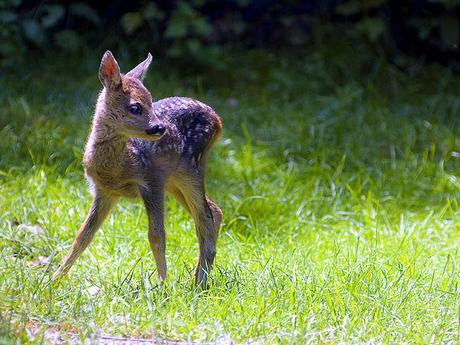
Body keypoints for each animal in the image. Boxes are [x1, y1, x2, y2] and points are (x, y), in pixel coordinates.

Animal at [54, 51, 223, 286]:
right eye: (135, 107)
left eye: (151, 102)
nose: (160, 127)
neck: (121, 164)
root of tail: (217, 120)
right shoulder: (105, 191)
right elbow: (84, 235)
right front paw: (53, 279)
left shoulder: (151, 182)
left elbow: (156, 236)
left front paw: (163, 287)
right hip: (175, 180)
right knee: (214, 211)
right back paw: (197, 279)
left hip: (191, 168)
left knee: (205, 218)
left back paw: (199, 283)